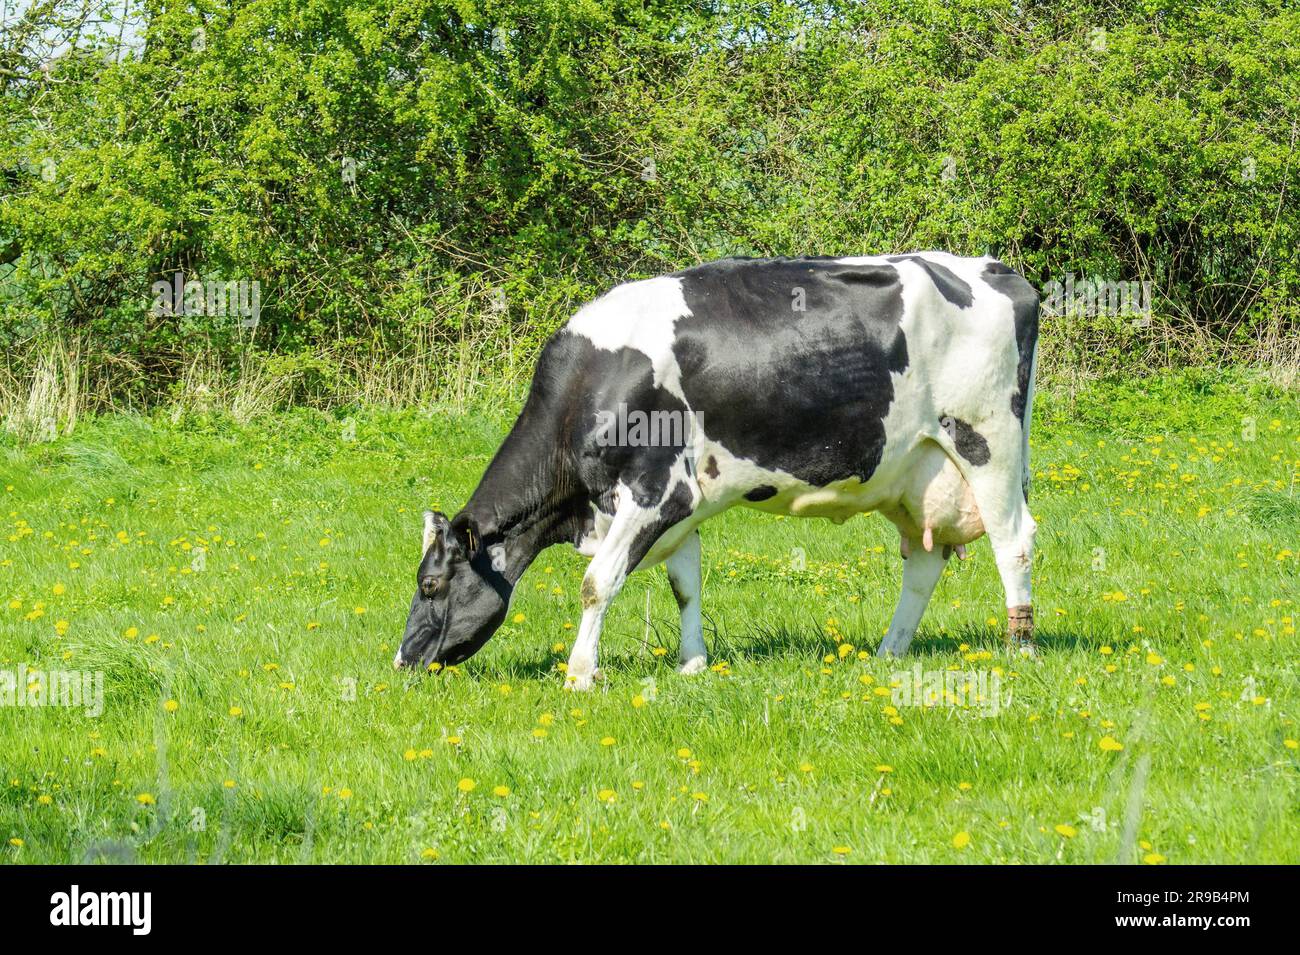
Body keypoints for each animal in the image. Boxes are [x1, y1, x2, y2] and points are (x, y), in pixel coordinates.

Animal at [390, 254, 1040, 686]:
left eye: (430, 585)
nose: (401, 663)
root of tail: (996, 269)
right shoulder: (682, 506)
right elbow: (685, 585)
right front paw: (694, 664)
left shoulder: (656, 492)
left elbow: (598, 581)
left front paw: (579, 675)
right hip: (916, 472)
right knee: (924, 563)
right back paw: (889, 651)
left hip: (989, 441)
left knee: (1013, 541)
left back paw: (1021, 648)